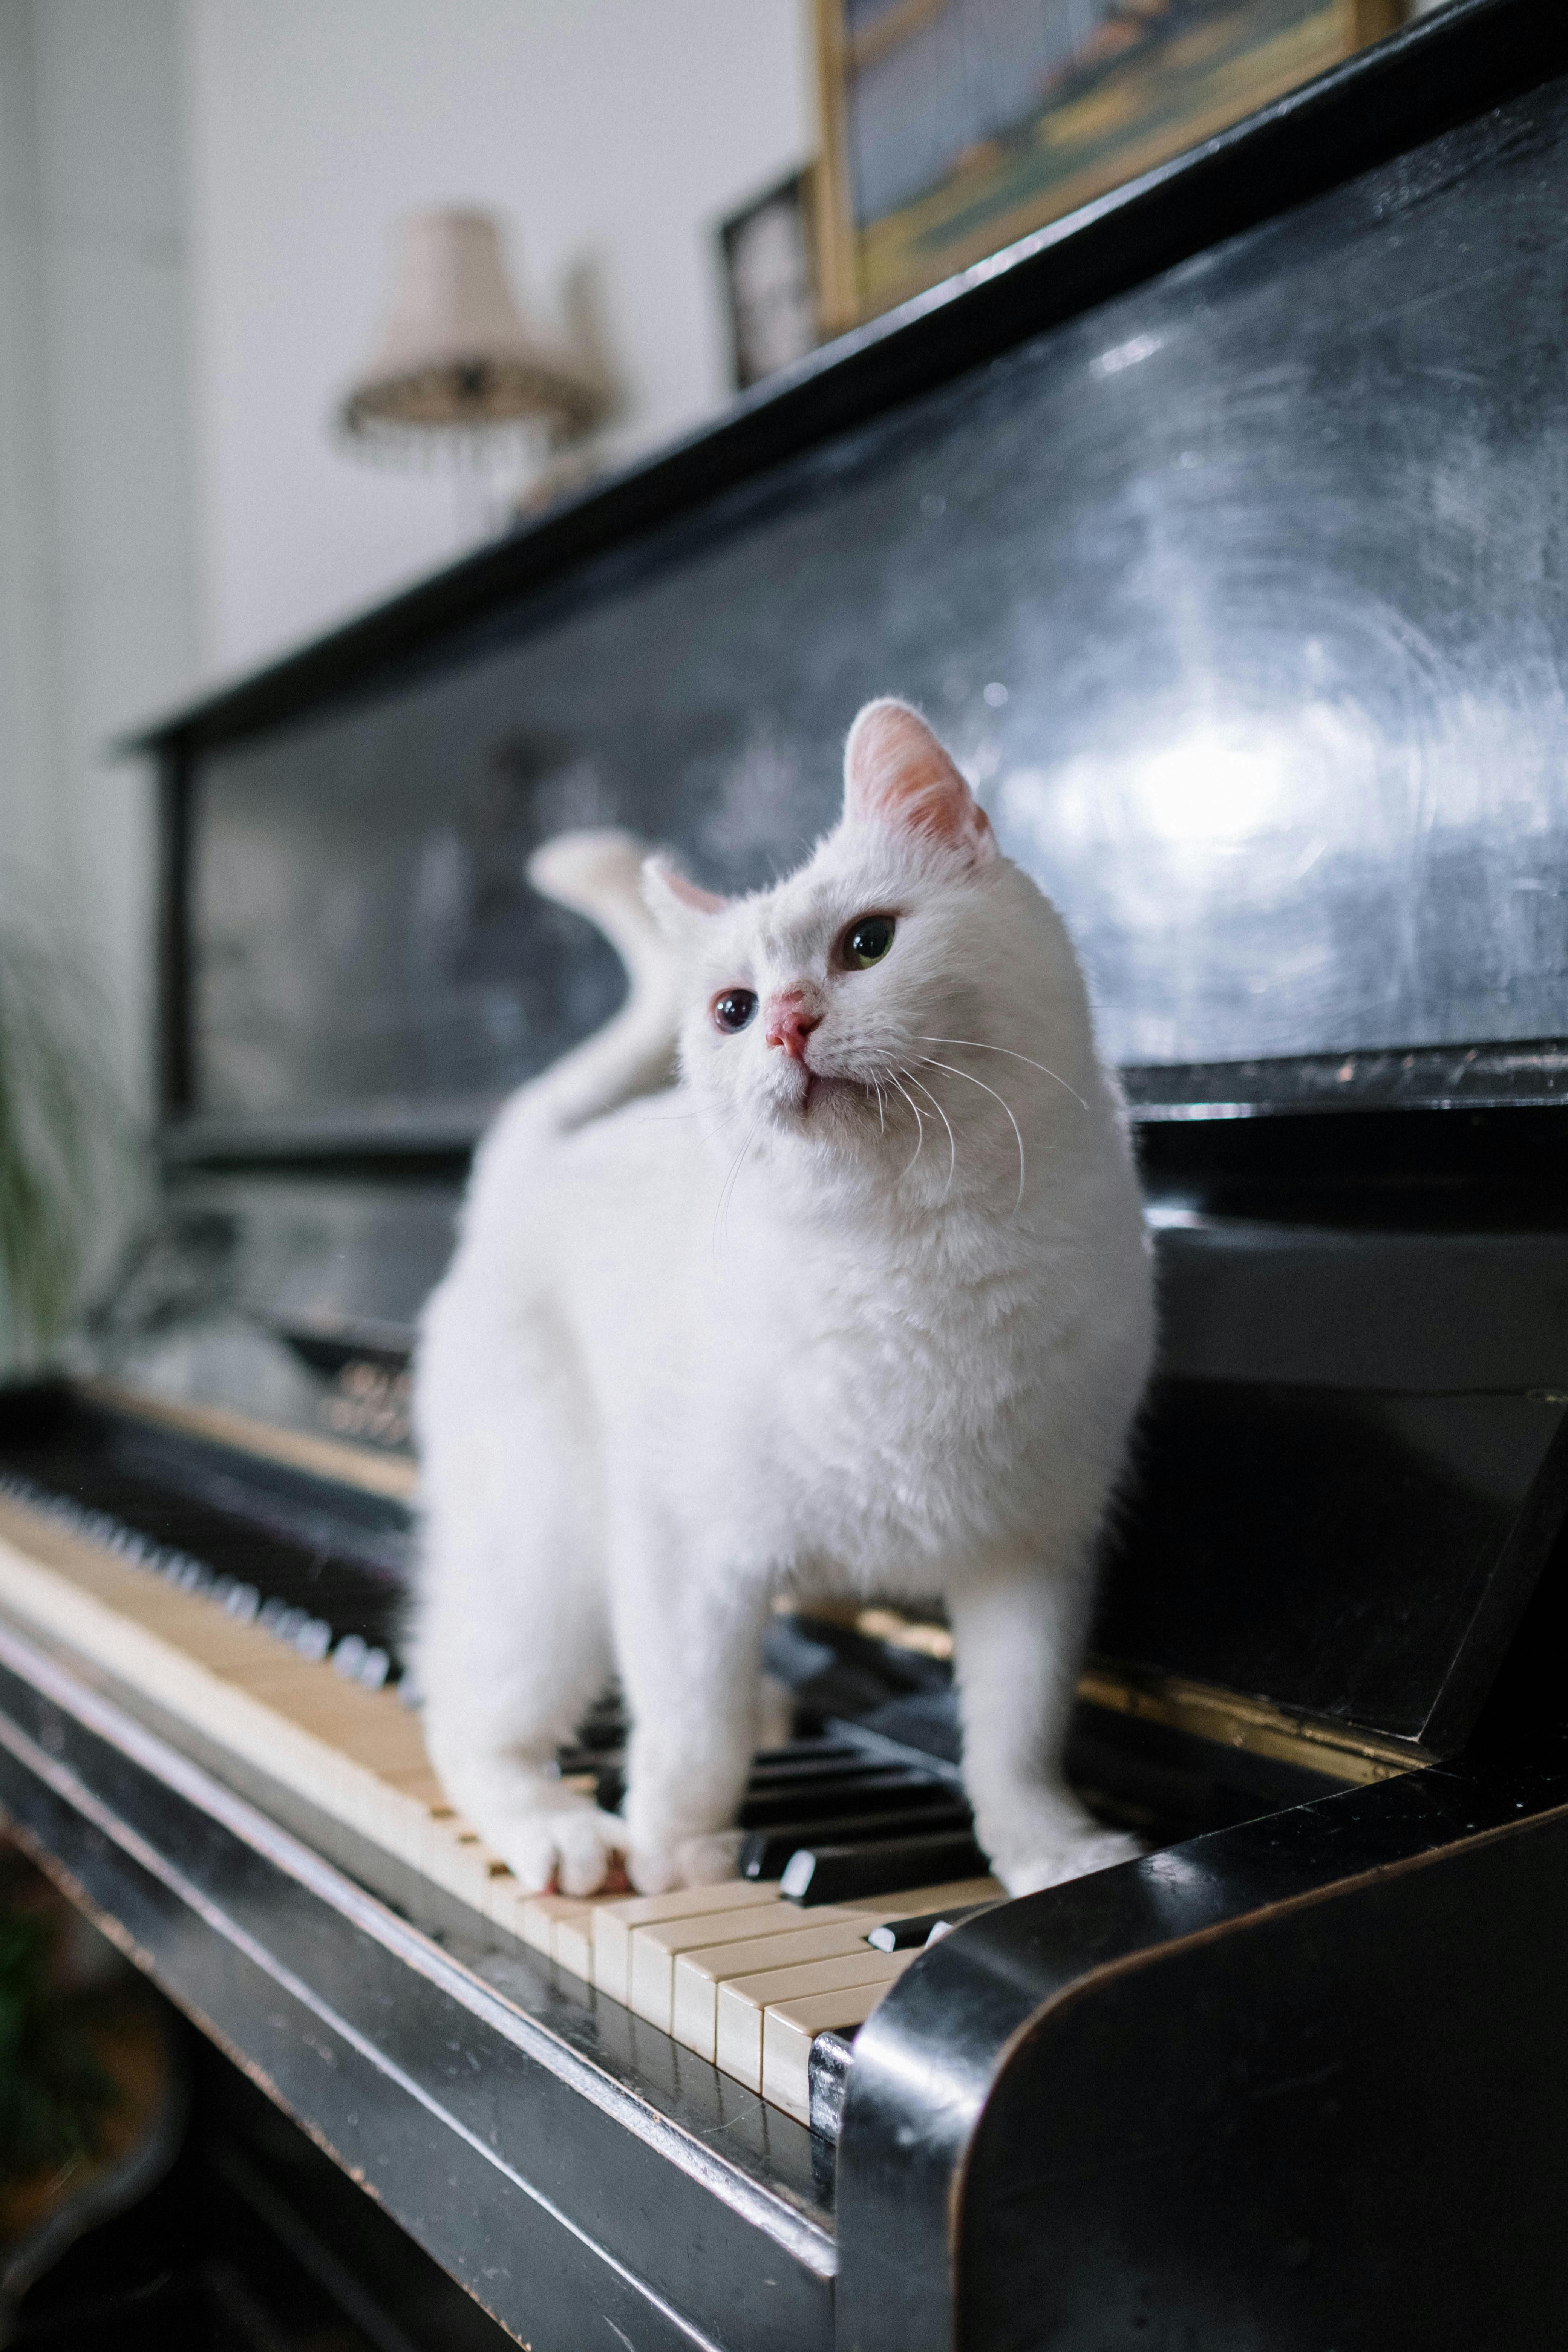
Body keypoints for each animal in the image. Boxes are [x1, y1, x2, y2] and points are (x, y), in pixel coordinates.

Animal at [413, 691, 1152, 1891]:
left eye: (868, 945)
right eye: (730, 1008)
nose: (787, 1024)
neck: (911, 1250)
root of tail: (528, 1168)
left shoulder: (1032, 1561)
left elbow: (1014, 1741)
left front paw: (1055, 1856)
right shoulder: (686, 1553)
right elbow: (690, 1733)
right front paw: (681, 1860)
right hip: (549, 1549)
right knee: (471, 1718)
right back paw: (567, 1834)